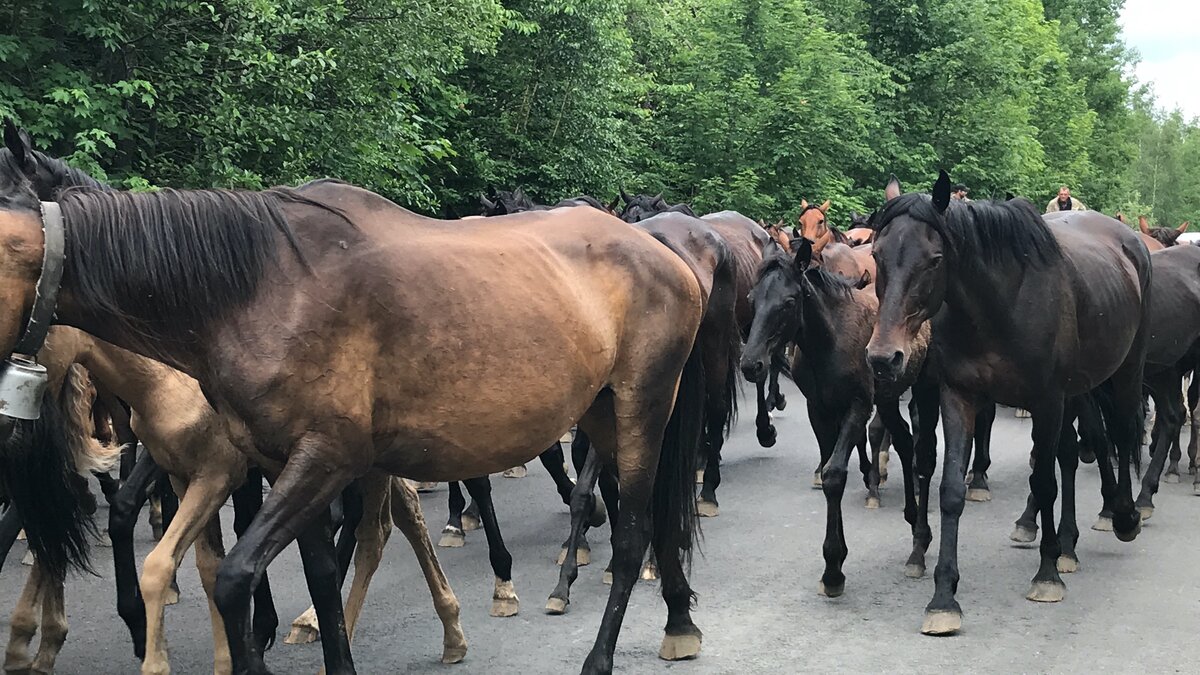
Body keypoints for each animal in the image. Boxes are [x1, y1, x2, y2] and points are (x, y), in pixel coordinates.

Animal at [0, 174, 710, 672]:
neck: (258, 291)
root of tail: (662, 251)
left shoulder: (325, 458)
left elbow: (235, 579)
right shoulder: (283, 464)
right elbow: (319, 575)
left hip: (644, 406)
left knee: (634, 533)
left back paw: (602, 655)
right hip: (604, 415)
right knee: (645, 515)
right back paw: (678, 620)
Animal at [868, 170, 1147, 634]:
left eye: (935, 259)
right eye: (876, 255)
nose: (883, 357)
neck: (998, 306)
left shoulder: (1047, 401)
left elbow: (1045, 481)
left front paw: (1046, 575)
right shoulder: (958, 396)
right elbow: (950, 489)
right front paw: (943, 597)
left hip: (1125, 371)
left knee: (1121, 435)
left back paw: (1122, 516)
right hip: (1078, 390)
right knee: (1076, 450)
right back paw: (1067, 542)